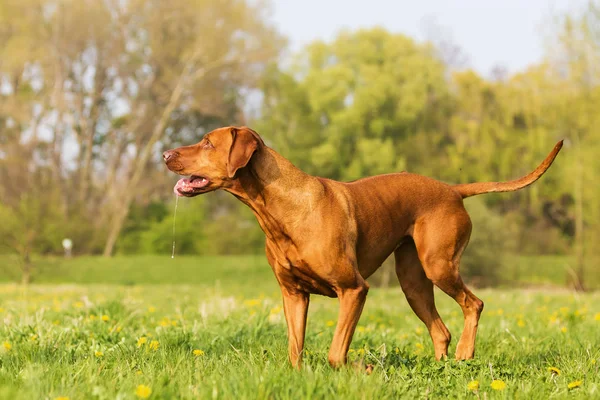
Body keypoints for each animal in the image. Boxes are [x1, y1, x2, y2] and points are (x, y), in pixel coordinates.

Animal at [163, 126, 564, 368]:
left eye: (207, 143)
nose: (165, 154)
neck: (281, 208)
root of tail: (453, 190)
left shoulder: (354, 289)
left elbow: (335, 351)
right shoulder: (292, 294)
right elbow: (295, 348)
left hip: (439, 264)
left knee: (474, 303)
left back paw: (466, 354)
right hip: (413, 281)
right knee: (440, 330)